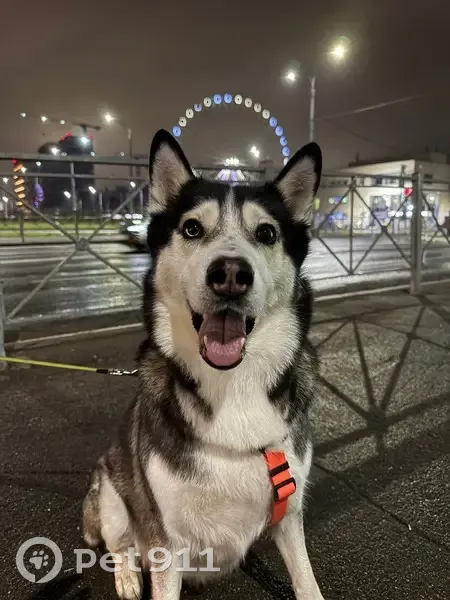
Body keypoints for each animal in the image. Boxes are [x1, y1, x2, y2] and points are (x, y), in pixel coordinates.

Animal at [82, 129, 325, 600]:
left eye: (266, 233)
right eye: (192, 228)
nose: (230, 273)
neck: (233, 385)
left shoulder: (289, 516)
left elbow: (307, 582)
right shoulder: (165, 539)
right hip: (111, 494)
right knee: (119, 545)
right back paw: (126, 576)